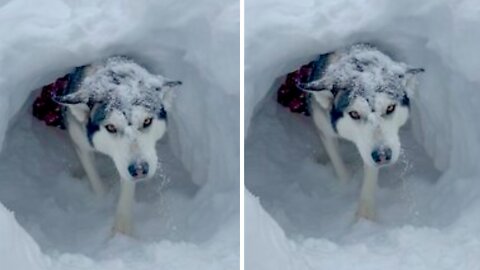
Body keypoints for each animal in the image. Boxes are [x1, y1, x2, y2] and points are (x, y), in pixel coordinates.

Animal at [54, 57, 182, 234]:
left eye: (147, 121)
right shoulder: (80, 141)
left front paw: (123, 230)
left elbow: (126, 189)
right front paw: (102, 200)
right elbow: (94, 178)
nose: (139, 170)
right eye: (111, 127)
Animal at [298, 44, 426, 220]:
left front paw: (366, 215)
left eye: (390, 108)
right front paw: (346, 186)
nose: (382, 156)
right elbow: (337, 162)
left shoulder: (369, 150)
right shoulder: (324, 127)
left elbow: (370, 174)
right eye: (354, 114)